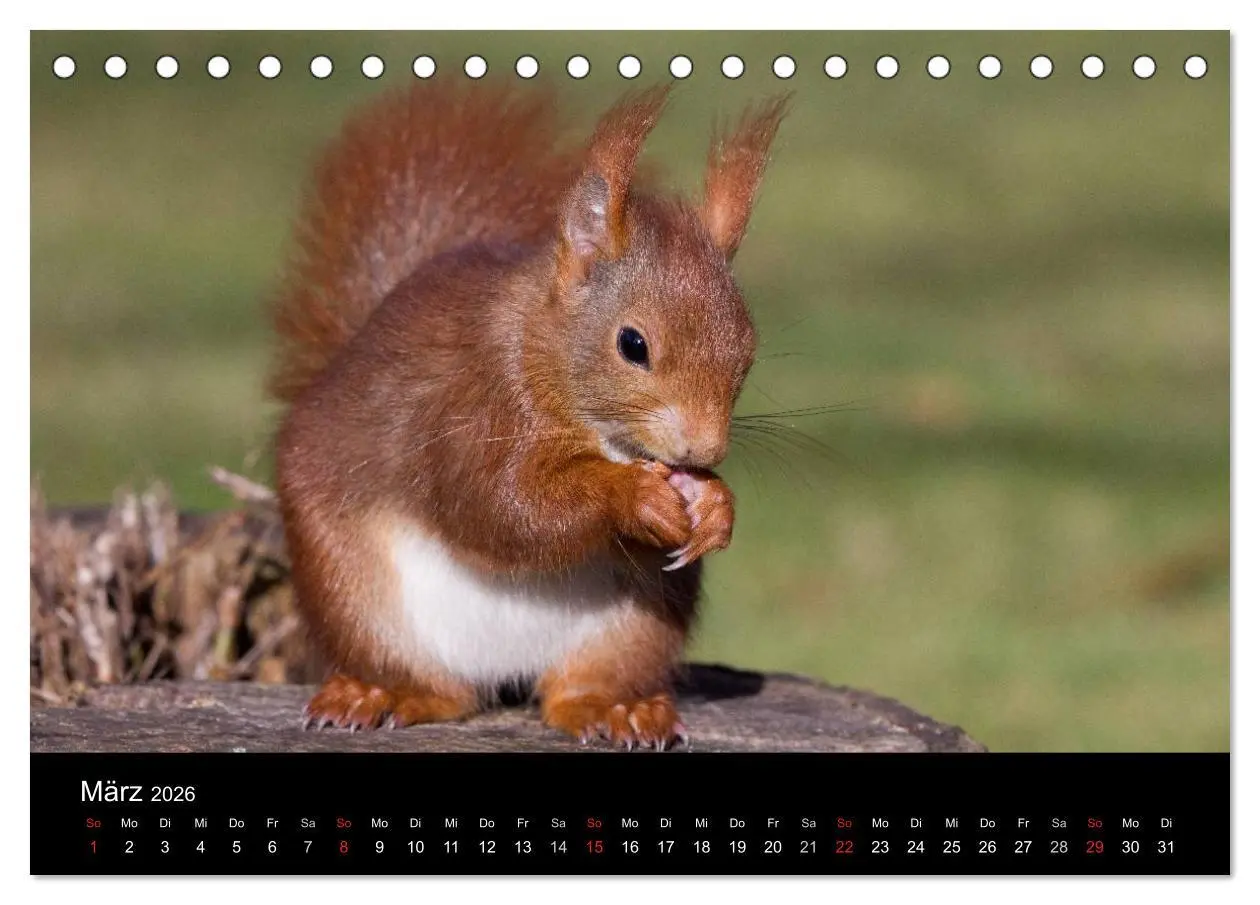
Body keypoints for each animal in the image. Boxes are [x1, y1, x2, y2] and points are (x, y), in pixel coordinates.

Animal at [270, 81, 787, 750]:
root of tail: (502, 668)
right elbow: (502, 504)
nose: (703, 450)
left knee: (578, 688)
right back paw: (385, 693)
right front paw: (633, 497)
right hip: (351, 590)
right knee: (432, 684)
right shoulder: (472, 404)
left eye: (747, 352)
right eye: (633, 344)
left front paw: (716, 506)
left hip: (638, 625)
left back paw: (615, 709)